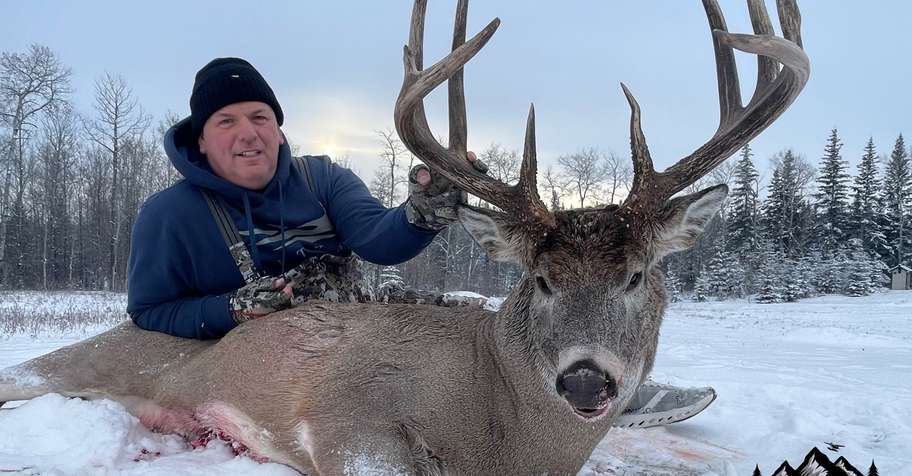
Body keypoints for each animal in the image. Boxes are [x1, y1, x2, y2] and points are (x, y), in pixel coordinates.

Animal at [0, 0, 808, 474]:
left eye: (637, 275)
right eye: (541, 279)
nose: (586, 380)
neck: (505, 439)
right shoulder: (347, 412)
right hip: (83, 360)